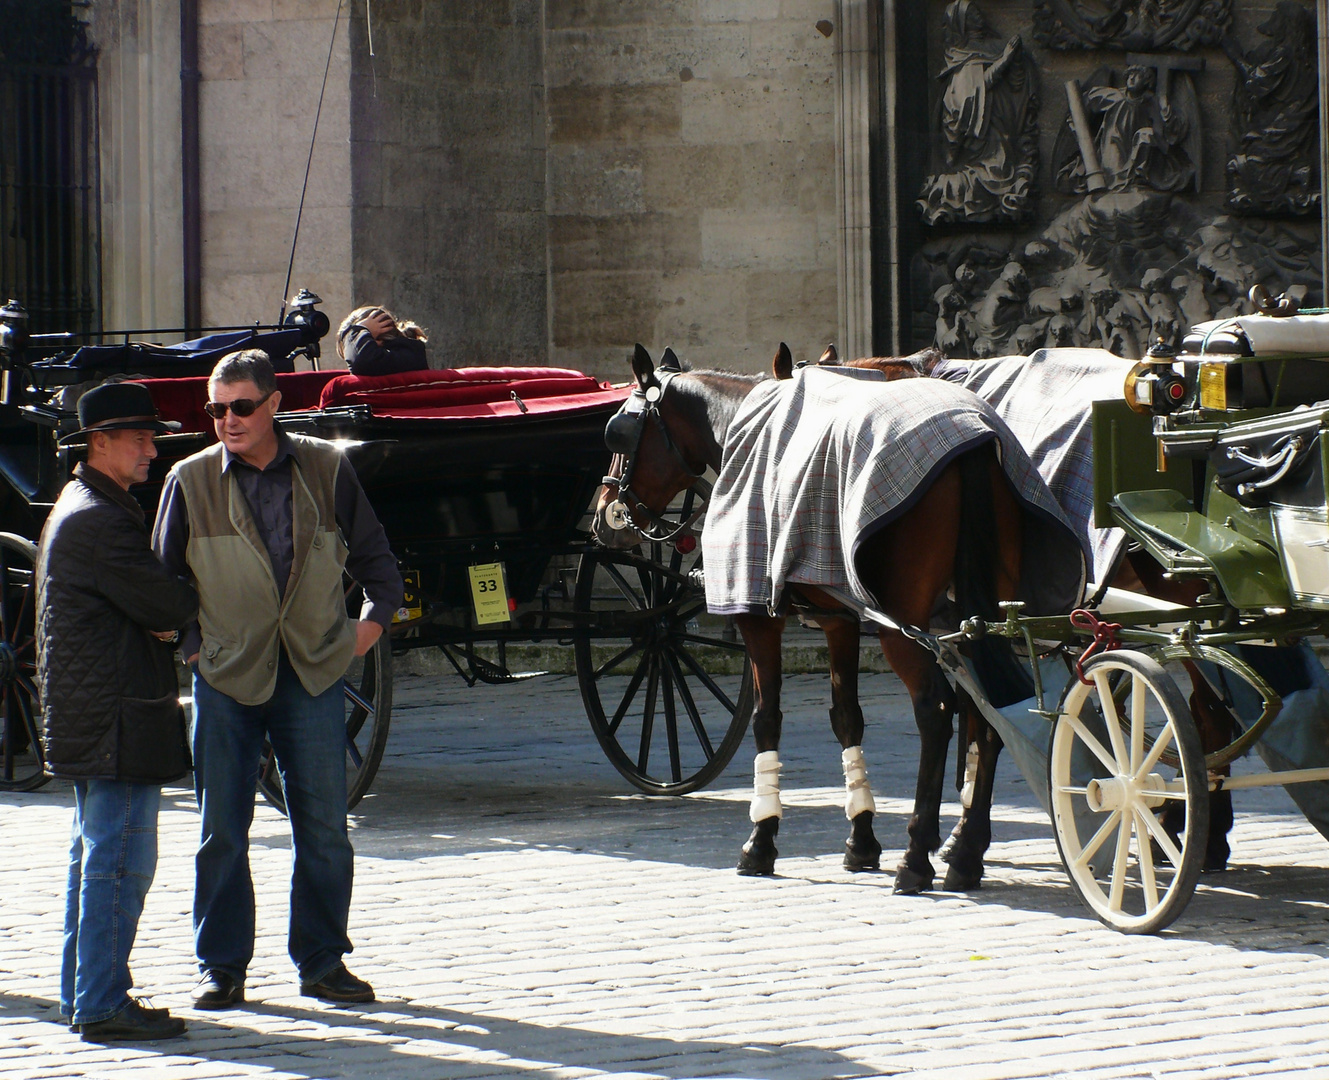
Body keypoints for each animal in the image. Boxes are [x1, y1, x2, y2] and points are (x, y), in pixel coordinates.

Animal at [598, 345, 1063, 892]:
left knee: (936, 712)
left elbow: (766, 719)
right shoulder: (840, 620)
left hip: (904, 626)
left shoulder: (758, 619)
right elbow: (847, 718)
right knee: (987, 711)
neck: (744, 423)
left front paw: (761, 839)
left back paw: (917, 855)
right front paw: (861, 837)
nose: (604, 513)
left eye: (617, 433)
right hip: (982, 618)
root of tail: (974, 440)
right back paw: (965, 852)